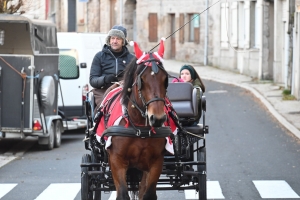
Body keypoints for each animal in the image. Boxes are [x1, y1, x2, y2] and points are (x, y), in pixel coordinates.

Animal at [105, 39, 171, 200]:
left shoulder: (155, 162)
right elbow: (122, 194)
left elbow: (148, 194)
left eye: (165, 79)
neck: (140, 127)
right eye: (142, 79)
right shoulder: (116, 160)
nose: (157, 118)